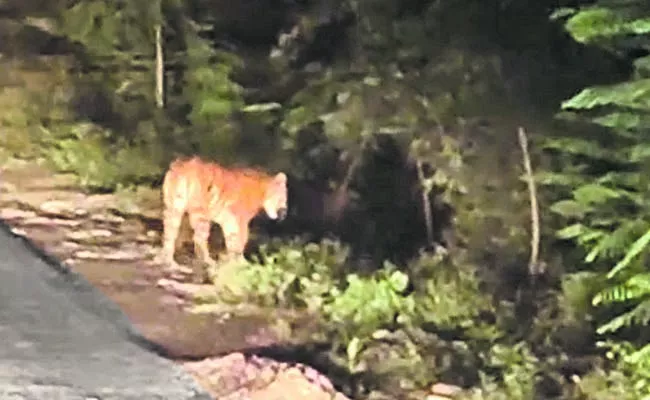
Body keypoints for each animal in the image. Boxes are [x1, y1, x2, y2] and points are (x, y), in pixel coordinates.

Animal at [158, 156, 288, 268]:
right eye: (282, 197)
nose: (284, 212)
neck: (261, 191)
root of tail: (182, 166)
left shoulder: (229, 222)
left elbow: (231, 241)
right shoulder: (240, 221)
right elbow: (240, 240)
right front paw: (240, 263)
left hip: (174, 209)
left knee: (169, 234)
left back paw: (168, 260)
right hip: (200, 214)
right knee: (198, 238)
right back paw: (208, 261)